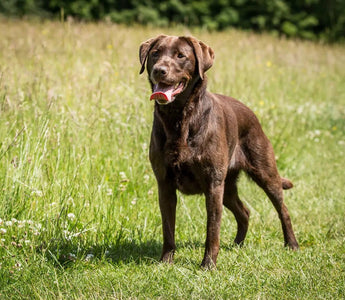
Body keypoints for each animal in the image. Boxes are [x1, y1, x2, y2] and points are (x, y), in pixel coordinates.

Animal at [138, 35, 296, 270]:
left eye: (181, 56)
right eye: (155, 53)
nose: (159, 70)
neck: (180, 117)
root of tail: (252, 113)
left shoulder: (213, 185)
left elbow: (212, 229)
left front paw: (208, 266)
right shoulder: (164, 184)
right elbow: (168, 228)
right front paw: (165, 262)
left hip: (264, 174)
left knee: (282, 209)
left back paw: (291, 244)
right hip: (227, 187)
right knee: (244, 212)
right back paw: (237, 245)